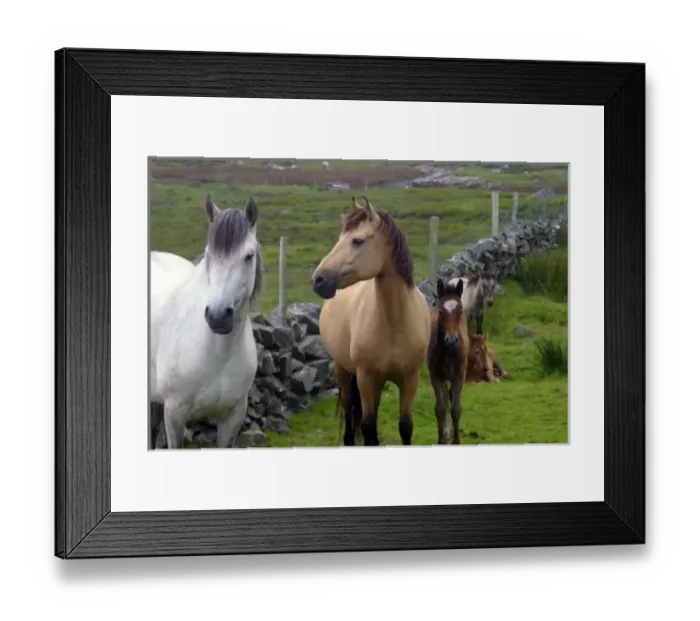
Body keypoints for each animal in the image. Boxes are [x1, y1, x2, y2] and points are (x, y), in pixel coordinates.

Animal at [149, 193, 263, 449]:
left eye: (249, 256)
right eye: (209, 255)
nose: (218, 316)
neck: (217, 351)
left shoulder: (232, 418)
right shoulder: (174, 416)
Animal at [311, 196, 431, 447]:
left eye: (357, 241)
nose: (318, 280)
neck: (394, 322)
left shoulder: (410, 379)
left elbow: (406, 426)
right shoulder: (365, 377)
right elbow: (367, 427)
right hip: (344, 371)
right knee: (349, 408)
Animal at [426, 278, 470, 445]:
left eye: (461, 311)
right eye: (440, 311)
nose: (451, 339)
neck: (448, 352)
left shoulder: (460, 376)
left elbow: (456, 409)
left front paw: (456, 440)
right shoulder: (435, 376)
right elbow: (440, 409)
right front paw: (441, 439)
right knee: (445, 400)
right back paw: (446, 433)